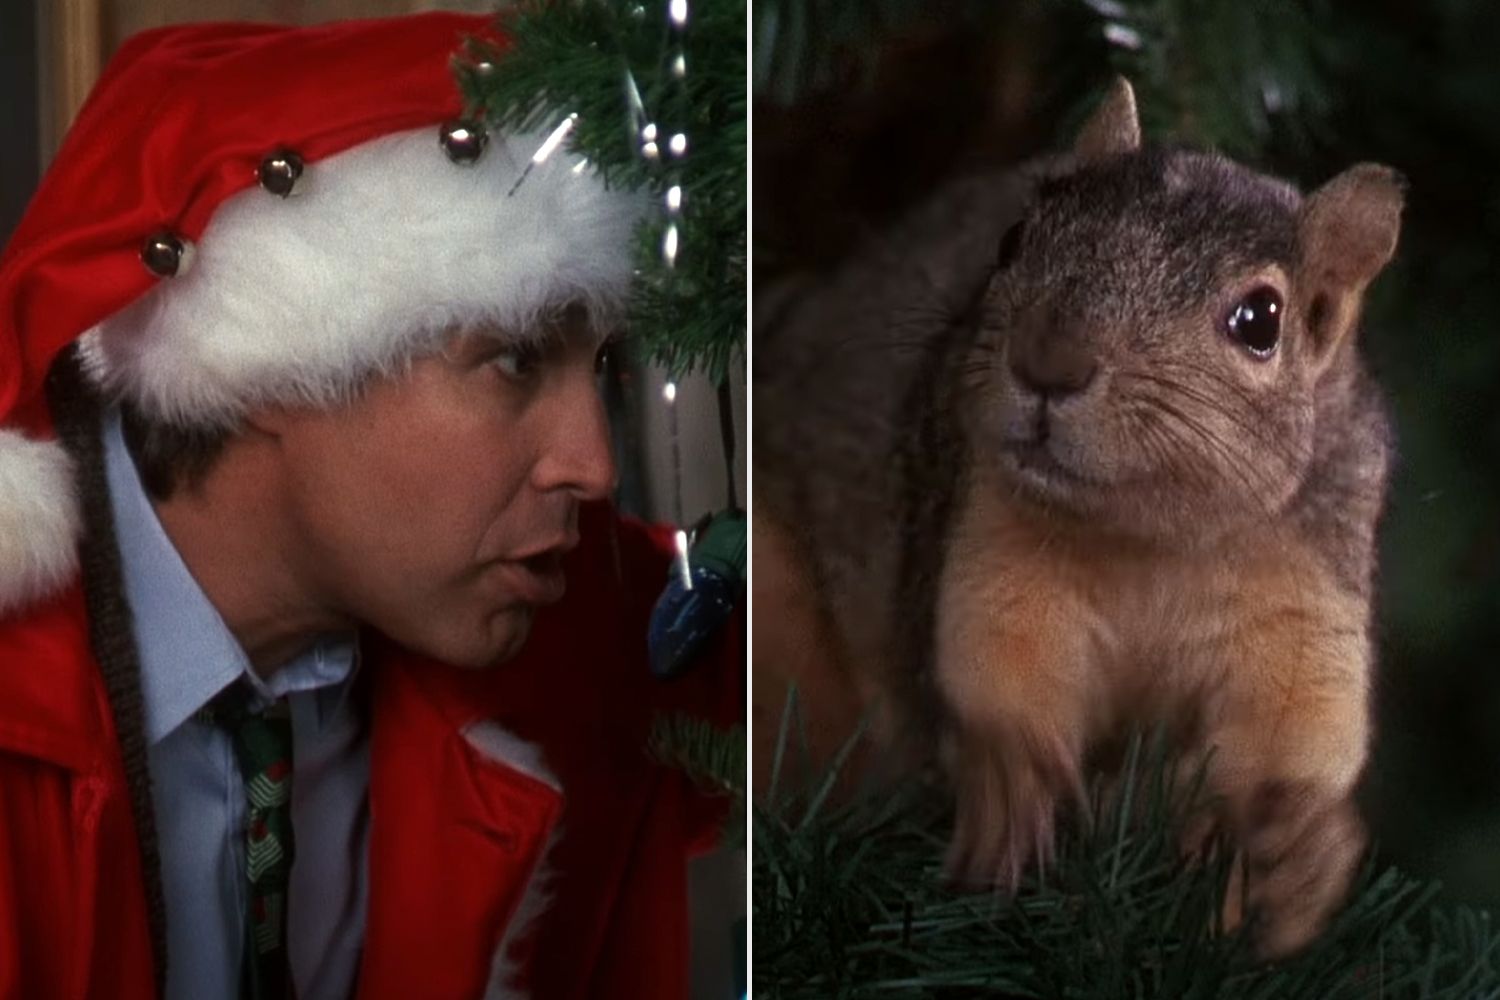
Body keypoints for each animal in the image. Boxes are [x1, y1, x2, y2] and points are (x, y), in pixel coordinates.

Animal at [753, 77, 1403, 957]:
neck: (1148, 541)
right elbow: (997, 659)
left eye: (1260, 320)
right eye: (1014, 239)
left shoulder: (1303, 600)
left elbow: (1293, 729)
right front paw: (1011, 775)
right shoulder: (988, 538)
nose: (1047, 363)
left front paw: (1304, 851)